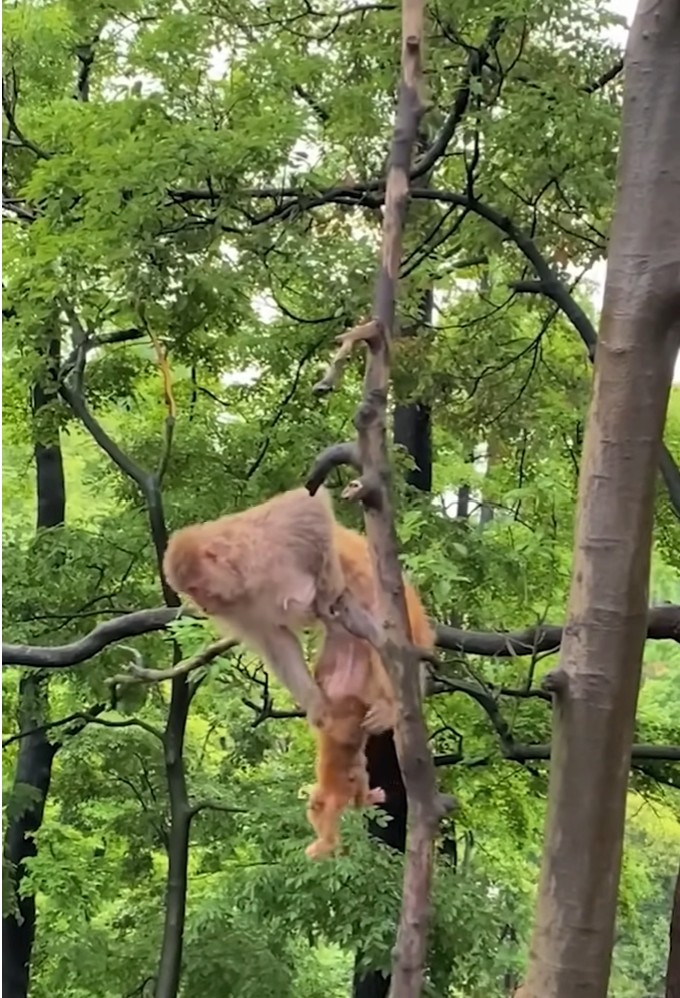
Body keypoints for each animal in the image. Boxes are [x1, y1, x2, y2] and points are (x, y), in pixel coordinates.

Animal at [162, 487, 385, 728]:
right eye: (189, 592)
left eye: (195, 588)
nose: (203, 607)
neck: (240, 573)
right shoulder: (236, 608)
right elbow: (276, 640)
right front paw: (316, 704)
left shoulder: (266, 537)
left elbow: (308, 506)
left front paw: (328, 587)